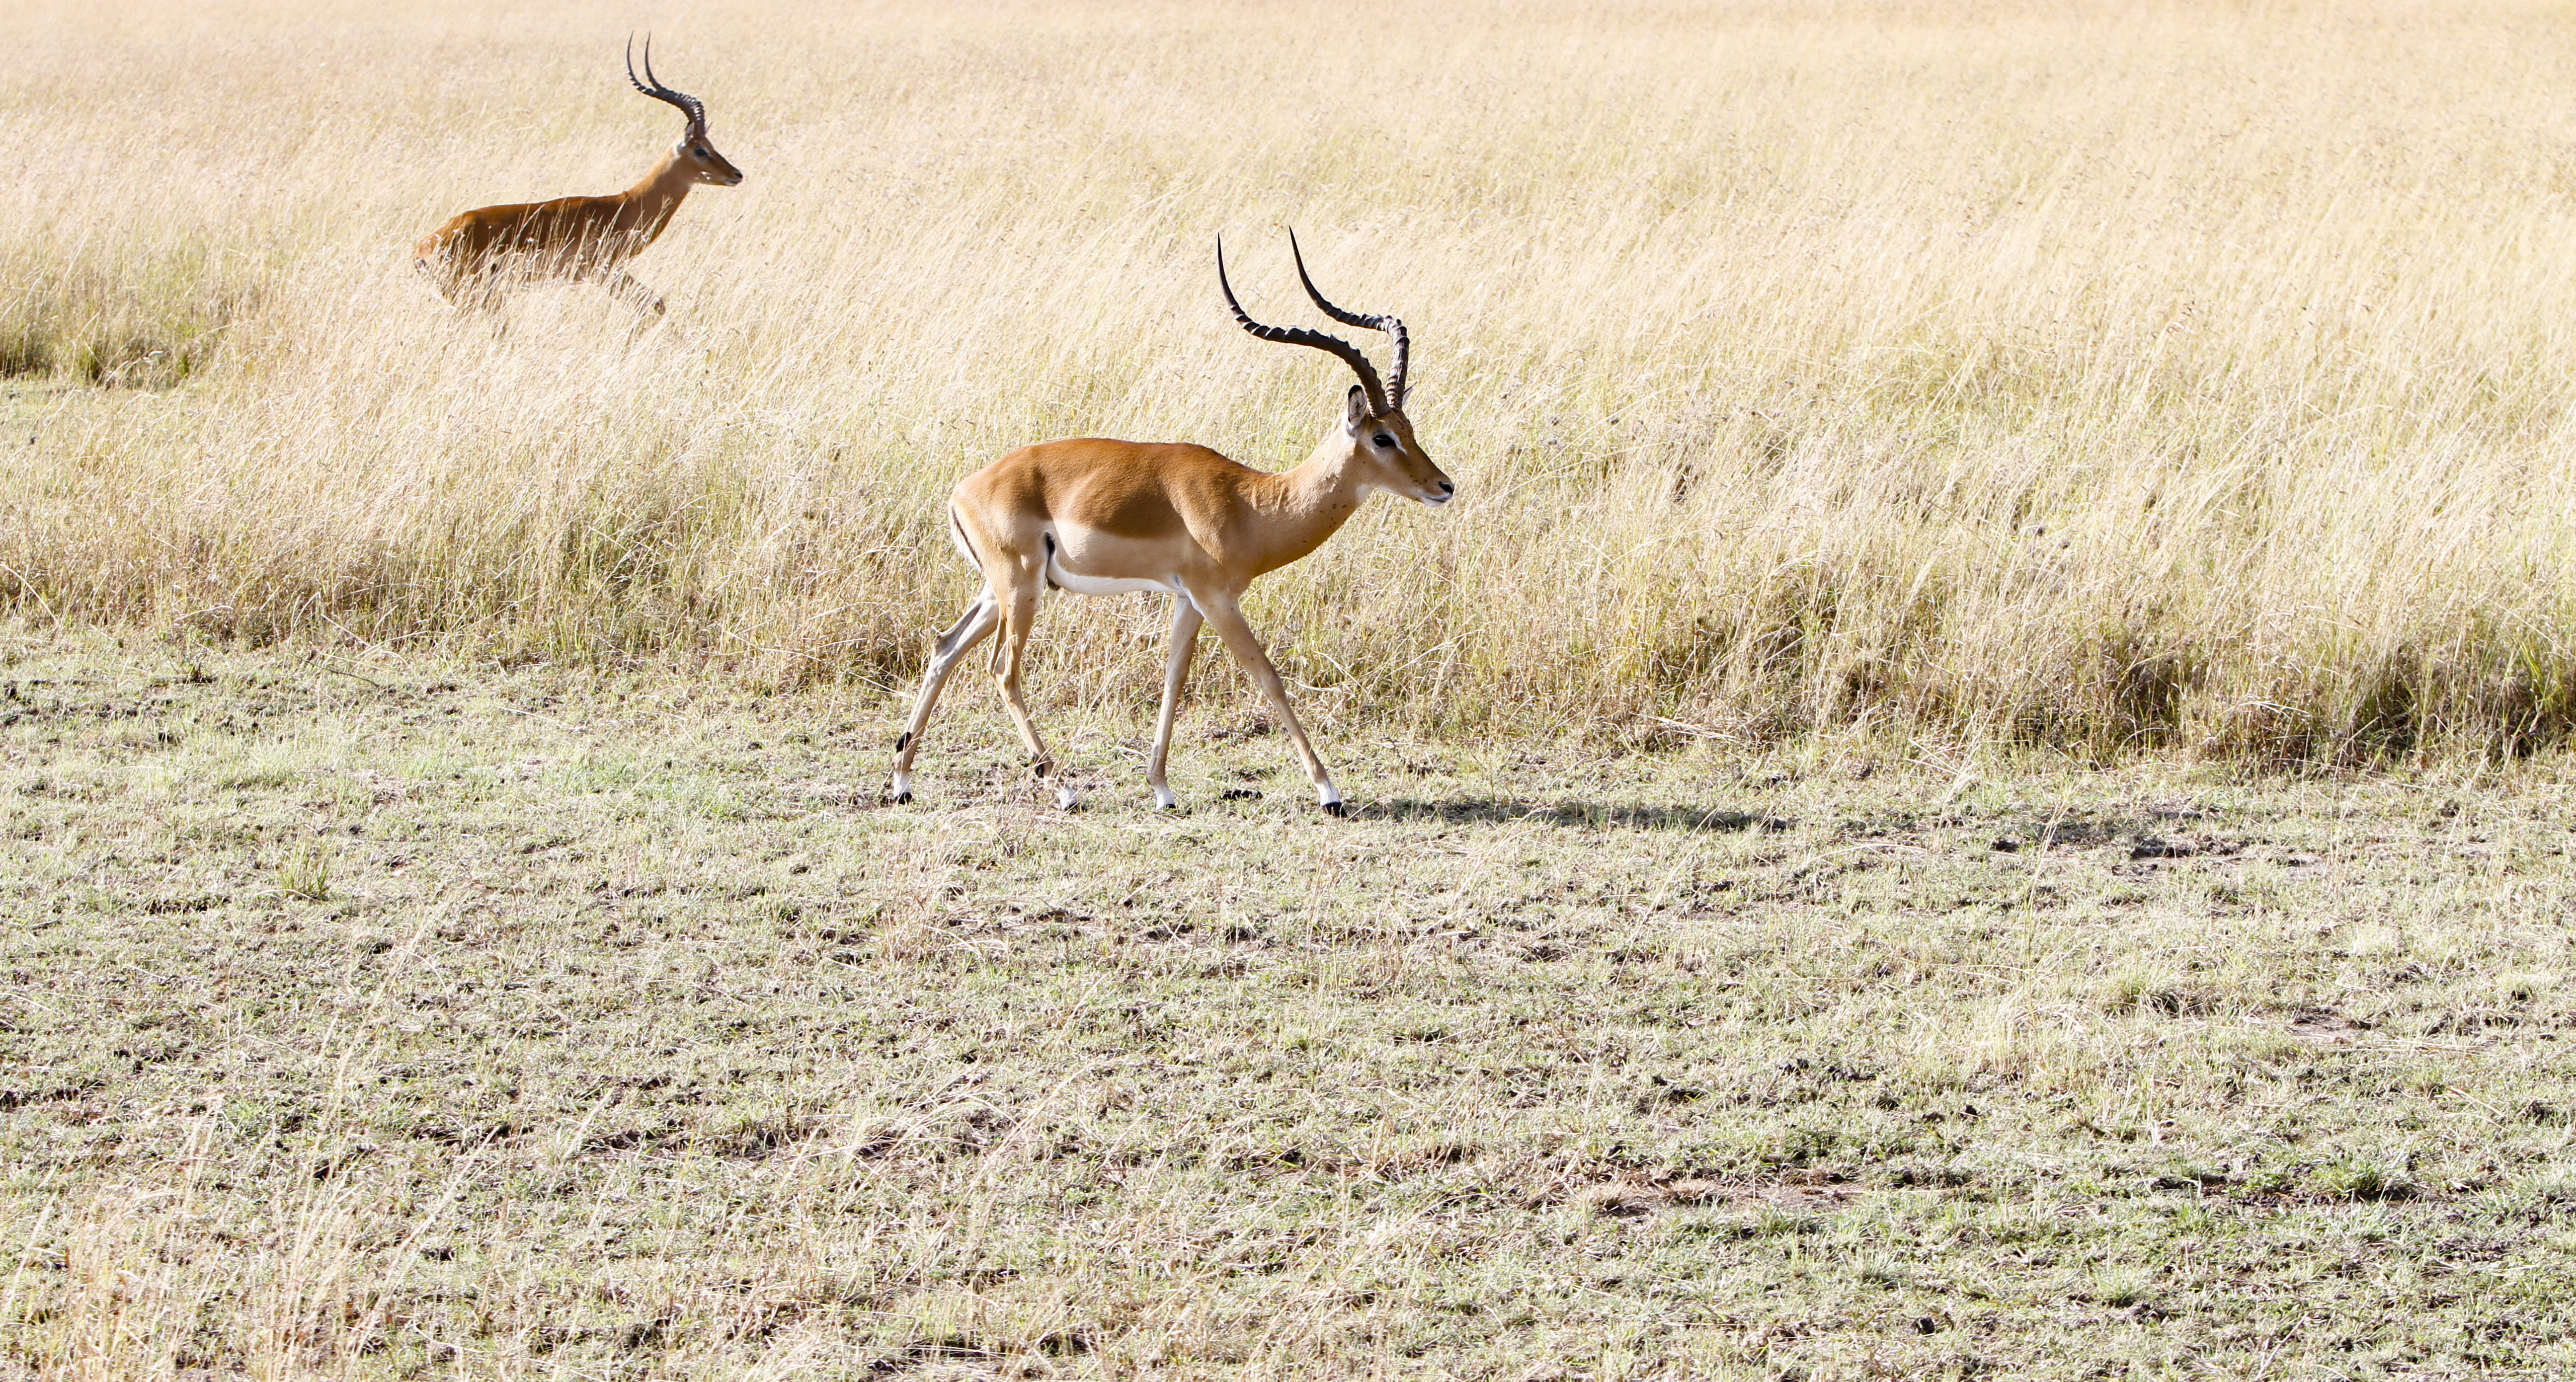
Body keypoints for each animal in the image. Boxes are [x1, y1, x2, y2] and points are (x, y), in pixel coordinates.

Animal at [413, 37, 742, 317]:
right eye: (700, 150)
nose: (736, 174)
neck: (624, 206)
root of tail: (425, 246)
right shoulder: (602, 272)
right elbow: (654, 305)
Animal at [890, 232, 1454, 816]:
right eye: (1382, 437)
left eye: (1410, 428)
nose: (1444, 486)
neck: (1251, 503)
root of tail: (963, 490)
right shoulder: (1218, 599)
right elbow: (1267, 676)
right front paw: (1329, 792)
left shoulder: (1188, 599)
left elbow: (1173, 678)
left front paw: (1161, 787)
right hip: (1021, 588)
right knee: (1003, 670)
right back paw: (1064, 788)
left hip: (999, 590)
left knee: (945, 648)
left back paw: (903, 782)